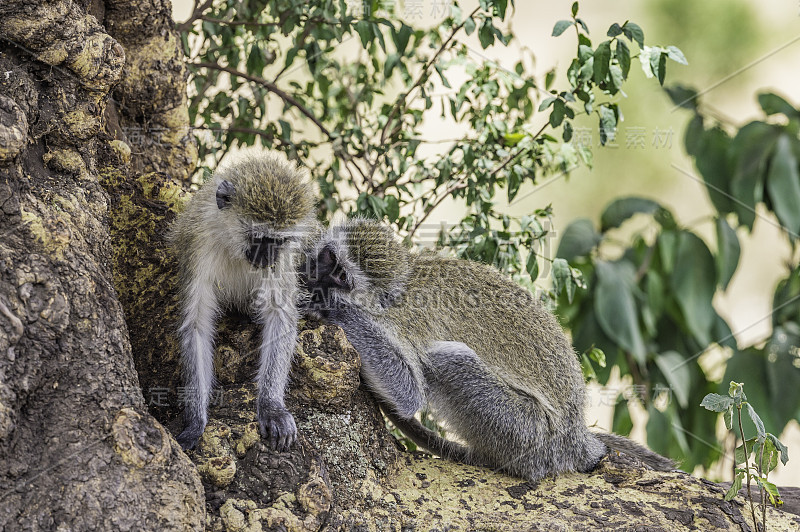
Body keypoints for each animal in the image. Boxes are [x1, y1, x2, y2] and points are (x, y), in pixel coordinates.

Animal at [172, 152, 316, 450]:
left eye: (279, 241)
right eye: (259, 237)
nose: (268, 258)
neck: (233, 244)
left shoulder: (283, 259)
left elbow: (280, 314)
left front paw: (271, 407)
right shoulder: (198, 244)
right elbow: (197, 323)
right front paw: (195, 422)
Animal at [306, 219, 676, 482]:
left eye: (341, 276)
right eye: (328, 257)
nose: (315, 274)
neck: (405, 283)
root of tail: (575, 437)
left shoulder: (401, 322)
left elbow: (408, 393)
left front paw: (334, 308)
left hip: (525, 433)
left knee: (447, 358)